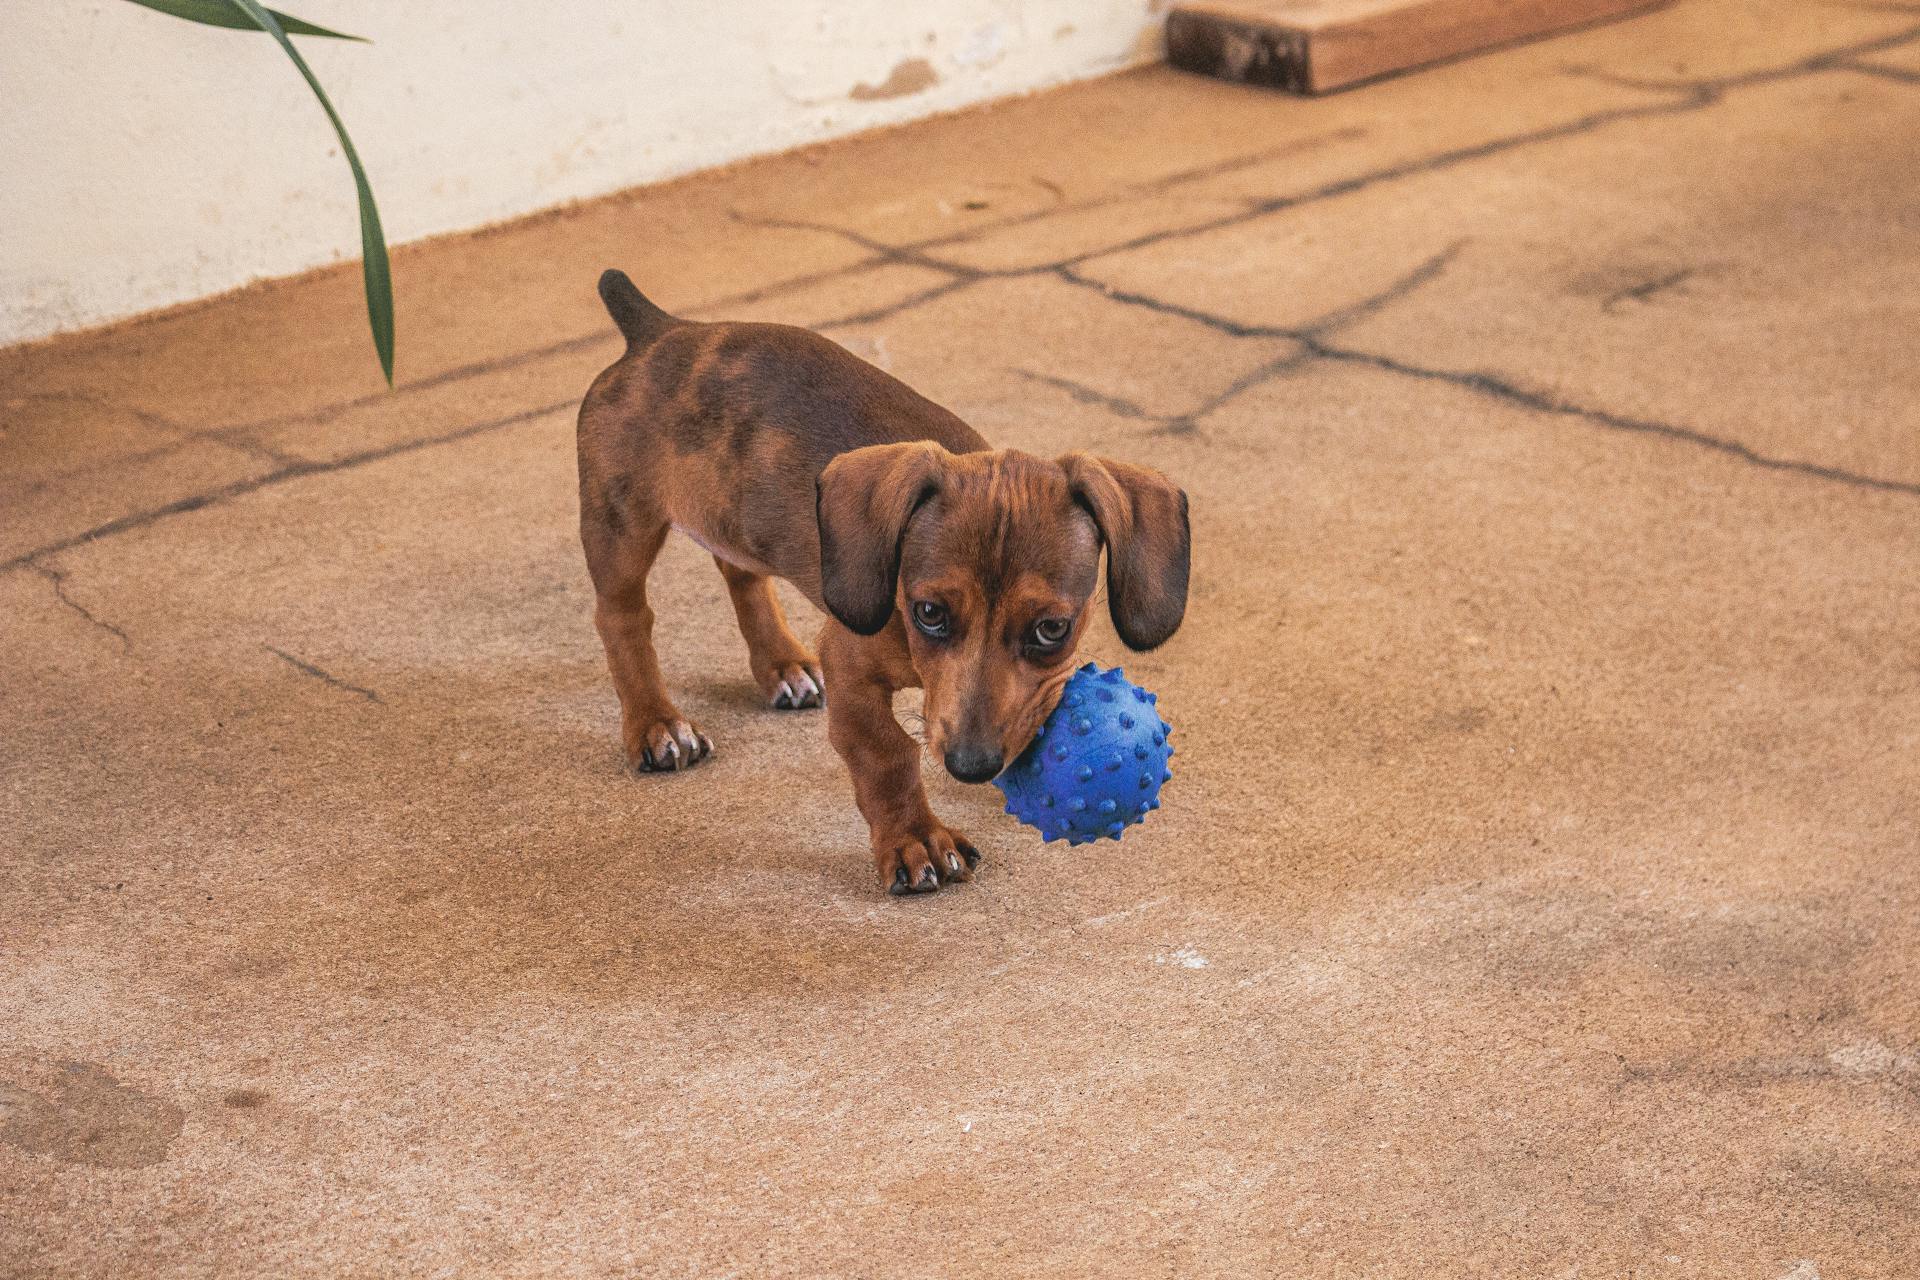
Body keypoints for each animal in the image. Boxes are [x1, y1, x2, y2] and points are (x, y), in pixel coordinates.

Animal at [576, 268, 1190, 890]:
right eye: (929, 613)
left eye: (1052, 628)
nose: (971, 766)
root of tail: (658, 331)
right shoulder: (851, 666)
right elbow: (887, 752)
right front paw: (915, 839)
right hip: (621, 524)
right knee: (621, 618)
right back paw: (656, 723)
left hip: (736, 521)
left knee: (741, 575)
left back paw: (782, 663)